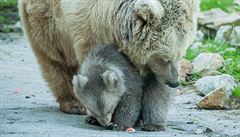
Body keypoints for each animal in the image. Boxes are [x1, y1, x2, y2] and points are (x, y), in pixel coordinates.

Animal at [18, 0, 198, 131]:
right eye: (164, 58)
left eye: (182, 53)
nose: (174, 82)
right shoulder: (94, 28)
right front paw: (99, 116)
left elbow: (155, 88)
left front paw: (152, 123)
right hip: (49, 22)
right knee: (56, 59)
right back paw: (74, 104)